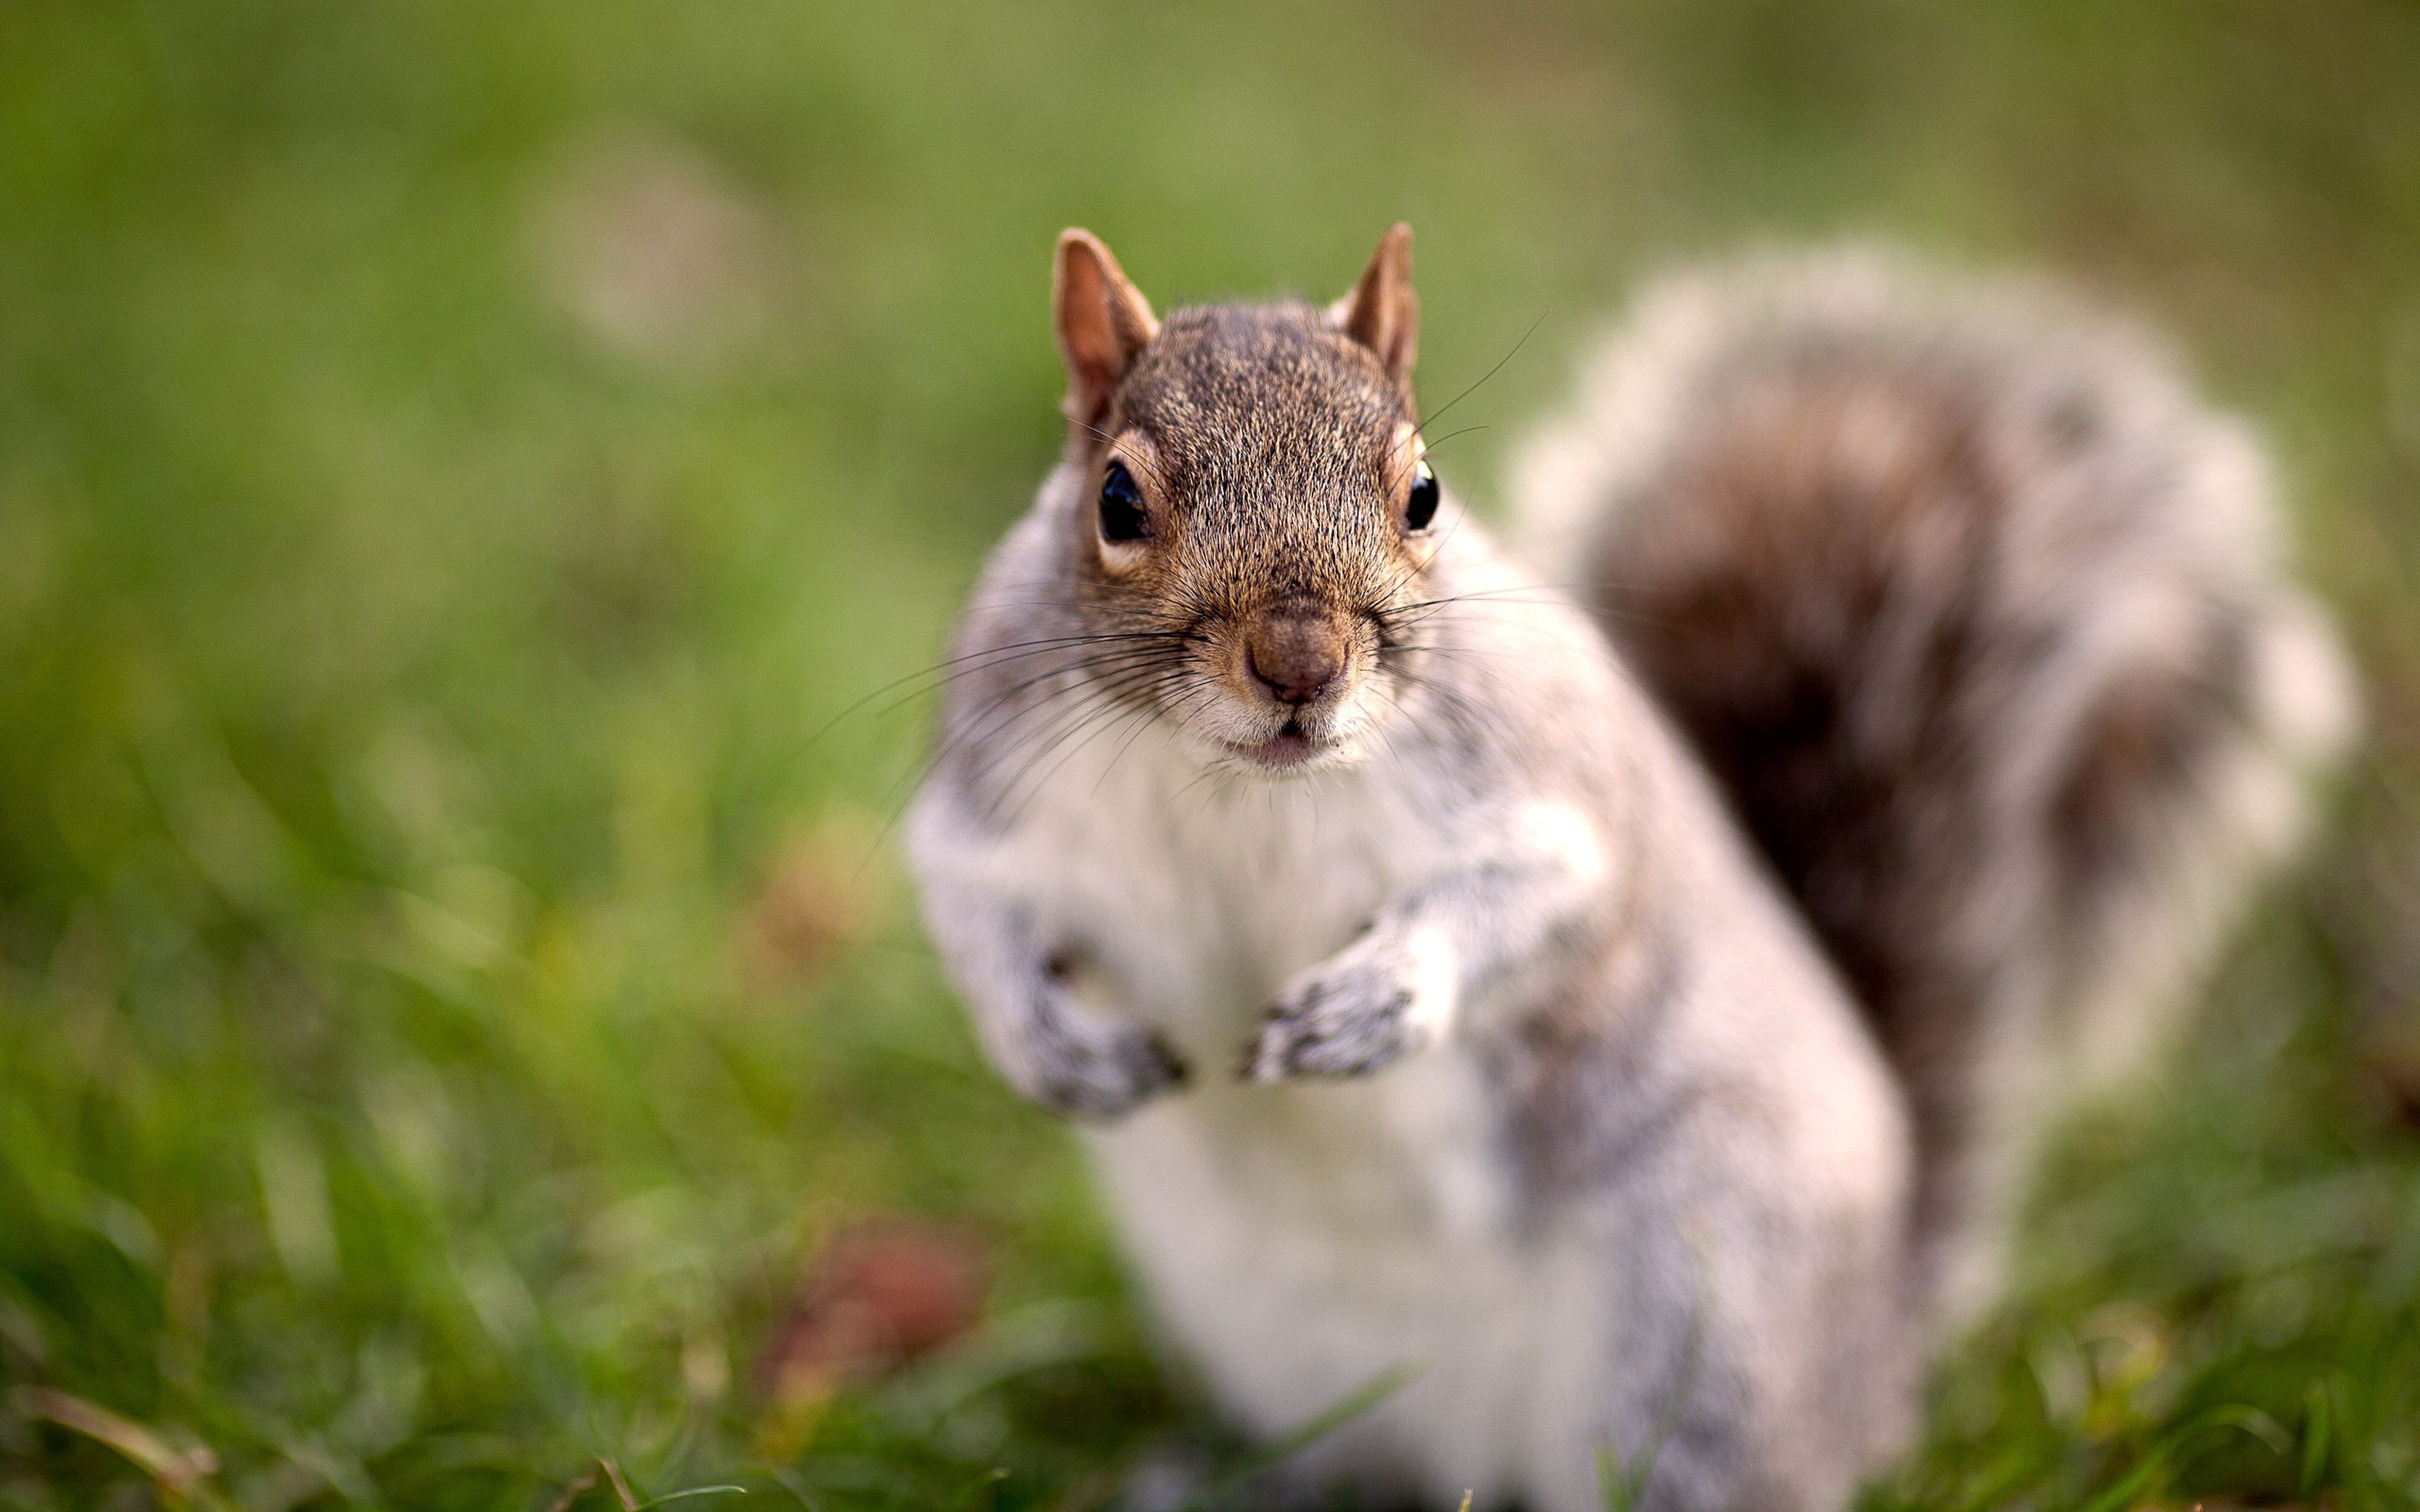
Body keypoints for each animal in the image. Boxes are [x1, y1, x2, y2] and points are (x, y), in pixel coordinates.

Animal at [903, 226, 2353, 1512]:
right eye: (1116, 499)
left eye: (1424, 494)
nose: (1300, 667)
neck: (1240, 791)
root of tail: (1876, 1354)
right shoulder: (986, 791)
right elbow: (964, 899)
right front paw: (1050, 1047)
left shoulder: (1545, 787)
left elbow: (1548, 899)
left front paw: (1387, 998)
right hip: (1285, 1343)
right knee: (1356, 1465)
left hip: (1700, 1321)